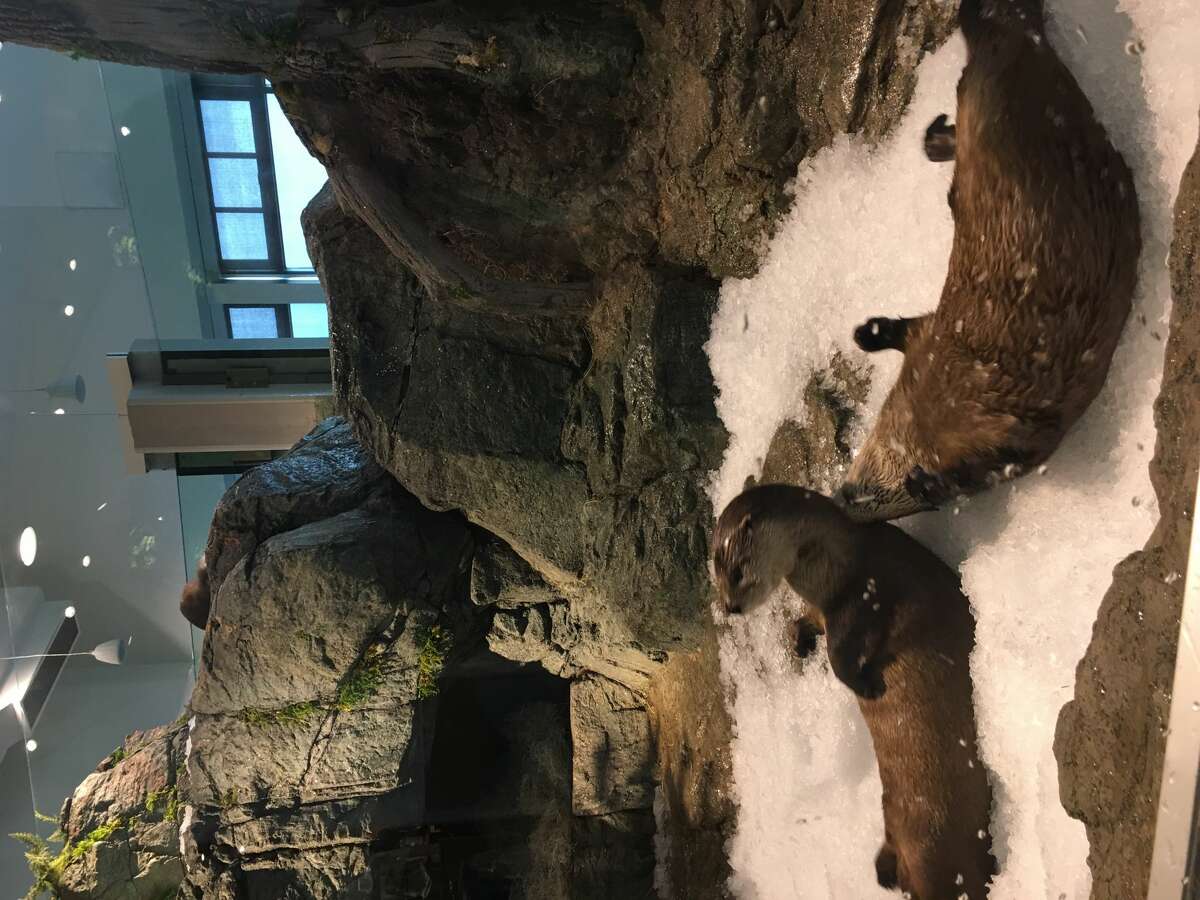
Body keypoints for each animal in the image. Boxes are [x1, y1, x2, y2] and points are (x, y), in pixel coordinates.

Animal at [713, 483, 996, 899]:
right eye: (715, 576)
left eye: (736, 570)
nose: (730, 607)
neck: (835, 565)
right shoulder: (825, 607)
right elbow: (806, 622)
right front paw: (800, 642)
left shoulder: (866, 592)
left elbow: (842, 652)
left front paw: (867, 684)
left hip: (936, 847)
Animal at [840, 0, 1140, 520]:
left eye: (884, 500)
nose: (842, 496)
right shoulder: (936, 337)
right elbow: (912, 328)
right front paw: (868, 332)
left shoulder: (1010, 429)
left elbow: (990, 463)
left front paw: (930, 482)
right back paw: (939, 131)